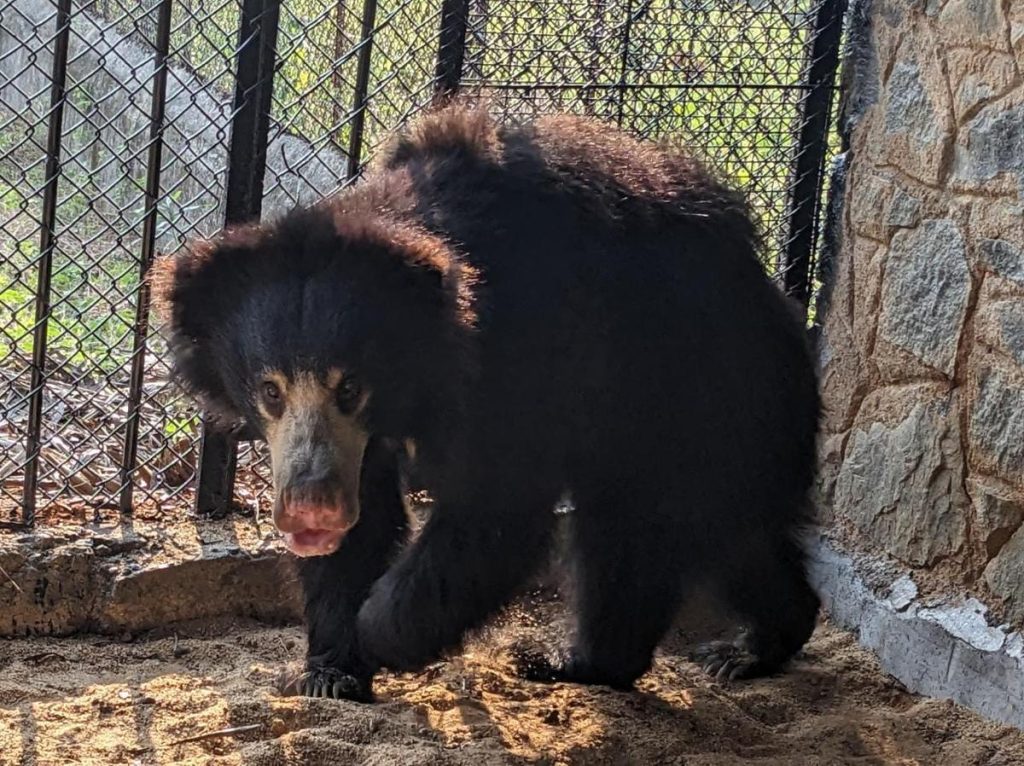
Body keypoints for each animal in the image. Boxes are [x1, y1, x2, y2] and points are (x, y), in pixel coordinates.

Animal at [152, 104, 821, 702]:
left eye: (349, 387)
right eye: (271, 390)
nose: (310, 510)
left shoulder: (521, 360)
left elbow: (495, 506)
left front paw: (376, 633)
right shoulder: (357, 442)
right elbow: (367, 517)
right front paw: (330, 671)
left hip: (698, 394)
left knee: (658, 525)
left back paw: (603, 662)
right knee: (718, 533)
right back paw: (745, 645)